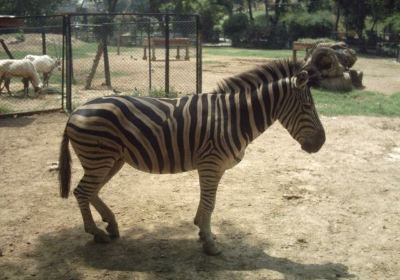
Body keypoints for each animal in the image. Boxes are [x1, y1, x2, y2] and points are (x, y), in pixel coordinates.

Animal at [60, 58, 328, 255]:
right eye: (308, 107)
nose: (322, 143)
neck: (234, 118)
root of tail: (76, 110)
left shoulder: (213, 167)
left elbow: (207, 201)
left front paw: (201, 229)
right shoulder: (211, 163)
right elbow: (210, 202)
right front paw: (209, 243)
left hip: (111, 160)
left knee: (91, 191)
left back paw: (111, 225)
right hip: (100, 158)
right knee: (82, 192)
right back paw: (96, 232)